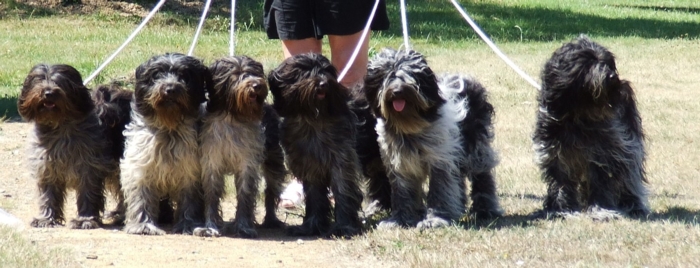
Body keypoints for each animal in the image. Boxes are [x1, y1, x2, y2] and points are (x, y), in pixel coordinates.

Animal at [19, 63, 131, 229]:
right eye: (39, 80)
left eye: (60, 82)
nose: (48, 93)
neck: (60, 126)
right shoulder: (46, 166)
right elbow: (48, 195)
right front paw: (46, 218)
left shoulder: (89, 167)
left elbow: (87, 194)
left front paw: (85, 219)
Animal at [194, 55, 288, 238]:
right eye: (236, 74)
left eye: (254, 72)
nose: (256, 85)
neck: (233, 117)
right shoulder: (211, 163)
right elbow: (211, 195)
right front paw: (210, 226)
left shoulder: (247, 164)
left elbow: (245, 195)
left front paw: (244, 226)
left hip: (274, 161)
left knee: (270, 191)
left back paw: (271, 219)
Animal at [268, 53, 364, 238]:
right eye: (304, 71)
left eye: (326, 70)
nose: (323, 83)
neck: (311, 119)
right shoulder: (311, 166)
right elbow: (315, 198)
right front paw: (311, 226)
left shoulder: (342, 162)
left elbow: (342, 193)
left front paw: (343, 227)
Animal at [360, 48, 504, 228]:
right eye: (387, 76)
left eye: (409, 75)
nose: (397, 91)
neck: (410, 126)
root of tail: (465, 78)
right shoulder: (400, 163)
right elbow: (402, 193)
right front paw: (400, 219)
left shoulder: (440, 160)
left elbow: (439, 190)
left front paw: (436, 219)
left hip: (476, 148)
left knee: (482, 176)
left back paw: (486, 209)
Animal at [532, 35, 648, 219]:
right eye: (588, 63)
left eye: (607, 62)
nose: (612, 77)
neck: (579, 115)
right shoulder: (555, 153)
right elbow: (561, 182)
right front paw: (561, 209)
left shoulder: (604, 154)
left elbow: (600, 183)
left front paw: (600, 210)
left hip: (629, 142)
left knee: (629, 174)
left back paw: (633, 205)